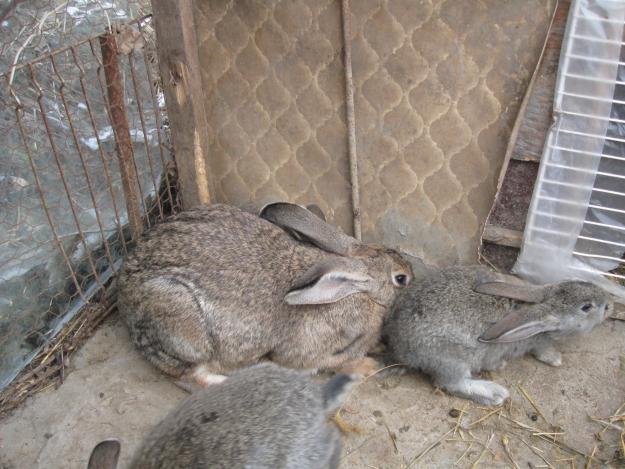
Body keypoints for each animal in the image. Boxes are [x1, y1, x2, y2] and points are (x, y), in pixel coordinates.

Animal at [117, 203, 412, 386]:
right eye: (401, 279)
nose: (412, 272)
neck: (360, 292)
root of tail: (123, 294)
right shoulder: (305, 352)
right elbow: (330, 362)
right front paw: (366, 366)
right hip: (182, 325)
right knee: (187, 375)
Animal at [382, 266, 612, 404]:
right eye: (587, 307)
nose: (610, 304)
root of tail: (400, 349)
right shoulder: (535, 341)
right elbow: (542, 350)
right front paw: (555, 359)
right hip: (451, 359)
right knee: (451, 384)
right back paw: (494, 395)